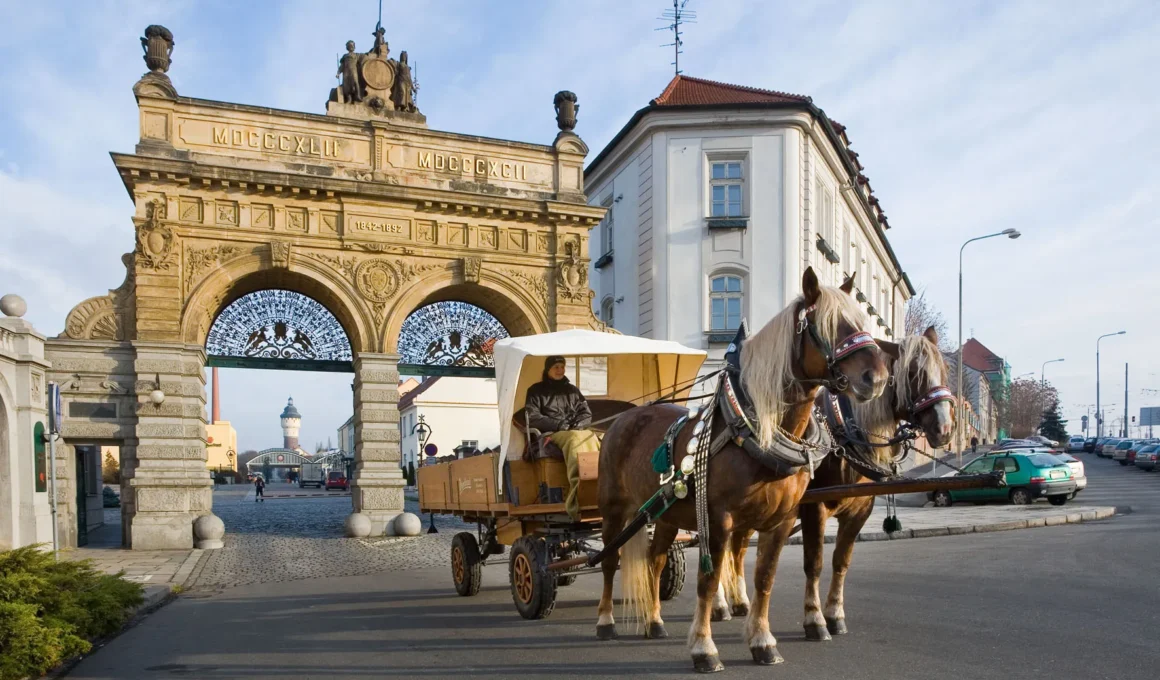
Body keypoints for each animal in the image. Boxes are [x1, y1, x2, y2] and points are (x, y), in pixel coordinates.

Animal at [598, 266, 886, 668]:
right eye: (827, 325)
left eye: (861, 321)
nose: (876, 377)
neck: (757, 431)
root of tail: (622, 418)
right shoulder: (719, 519)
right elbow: (708, 580)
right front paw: (704, 648)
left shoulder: (782, 520)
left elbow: (765, 578)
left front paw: (763, 642)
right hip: (614, 509)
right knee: (610, 560)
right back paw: (606, 621)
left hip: (666, 515)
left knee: (655, 561)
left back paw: (654, 621)